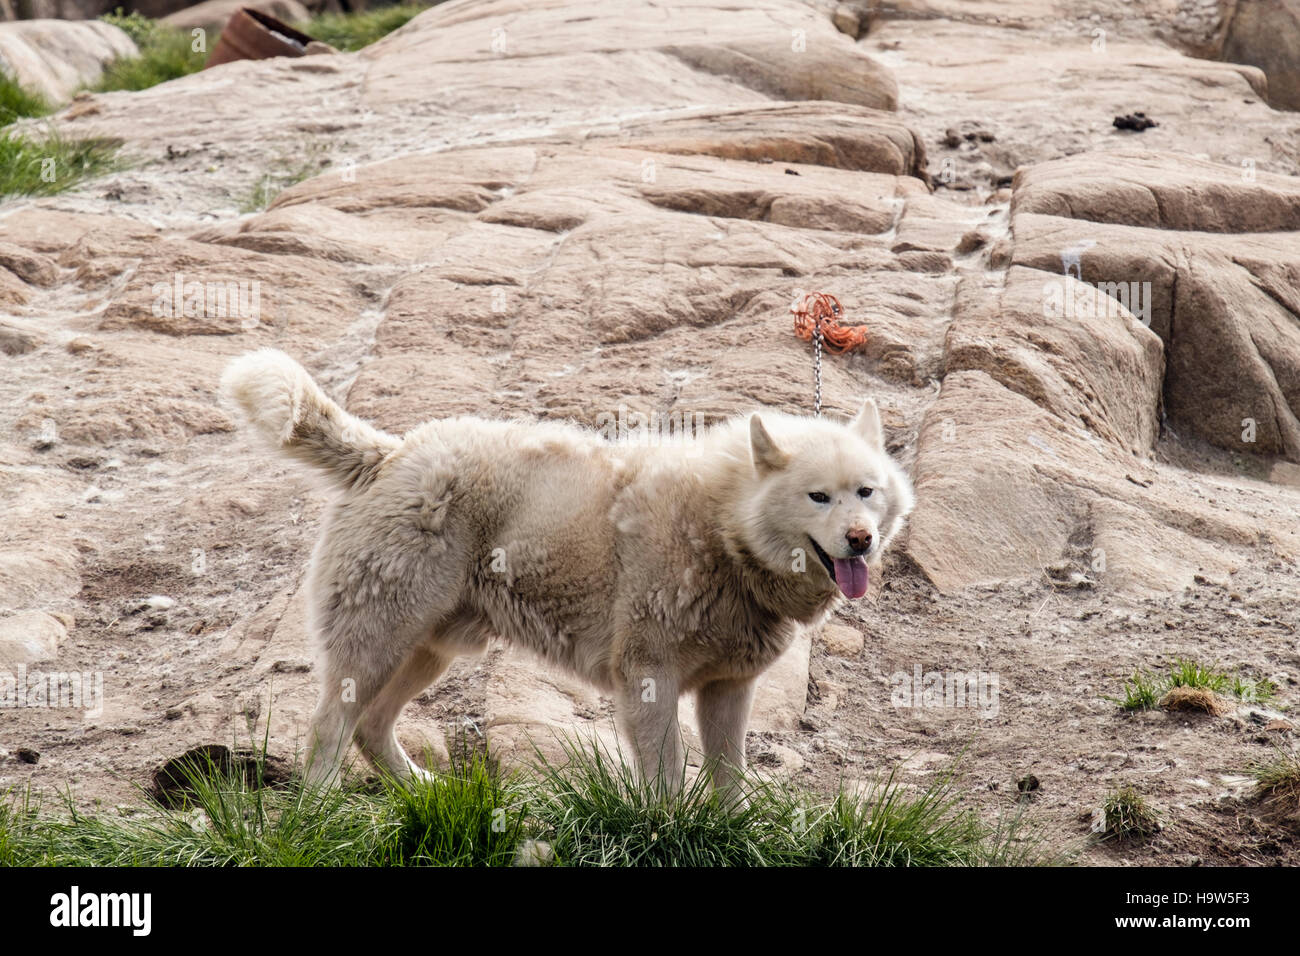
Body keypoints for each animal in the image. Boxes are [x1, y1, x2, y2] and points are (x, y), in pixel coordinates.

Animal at [220, 348, 915, 796]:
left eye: (867, 491)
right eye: (818, 497)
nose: (860, 540)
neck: (722, 530)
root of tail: (389, 452)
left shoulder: (728, 689)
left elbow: (729, 782)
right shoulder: (649, 680)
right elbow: (667, 783)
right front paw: (670, 833)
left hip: (430, 651)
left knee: (370, 728)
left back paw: (422, 793)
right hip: (376, 645)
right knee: (328, 730)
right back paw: (317, 816)